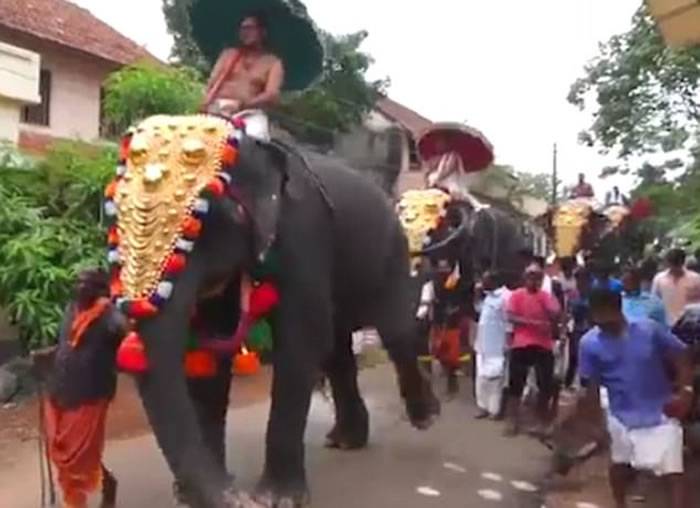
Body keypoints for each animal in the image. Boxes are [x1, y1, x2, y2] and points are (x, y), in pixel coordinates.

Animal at [103, 115, 438, 508]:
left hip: (394, 255)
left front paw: (276, 499)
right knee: (338, 348)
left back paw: (425, 417)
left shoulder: (305, 233)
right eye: (112, 214)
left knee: (395, 333)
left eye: (212, 215)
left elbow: (299, 339)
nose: (237, 496)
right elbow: (212, 352)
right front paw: (200, 494)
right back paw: (346, 440)